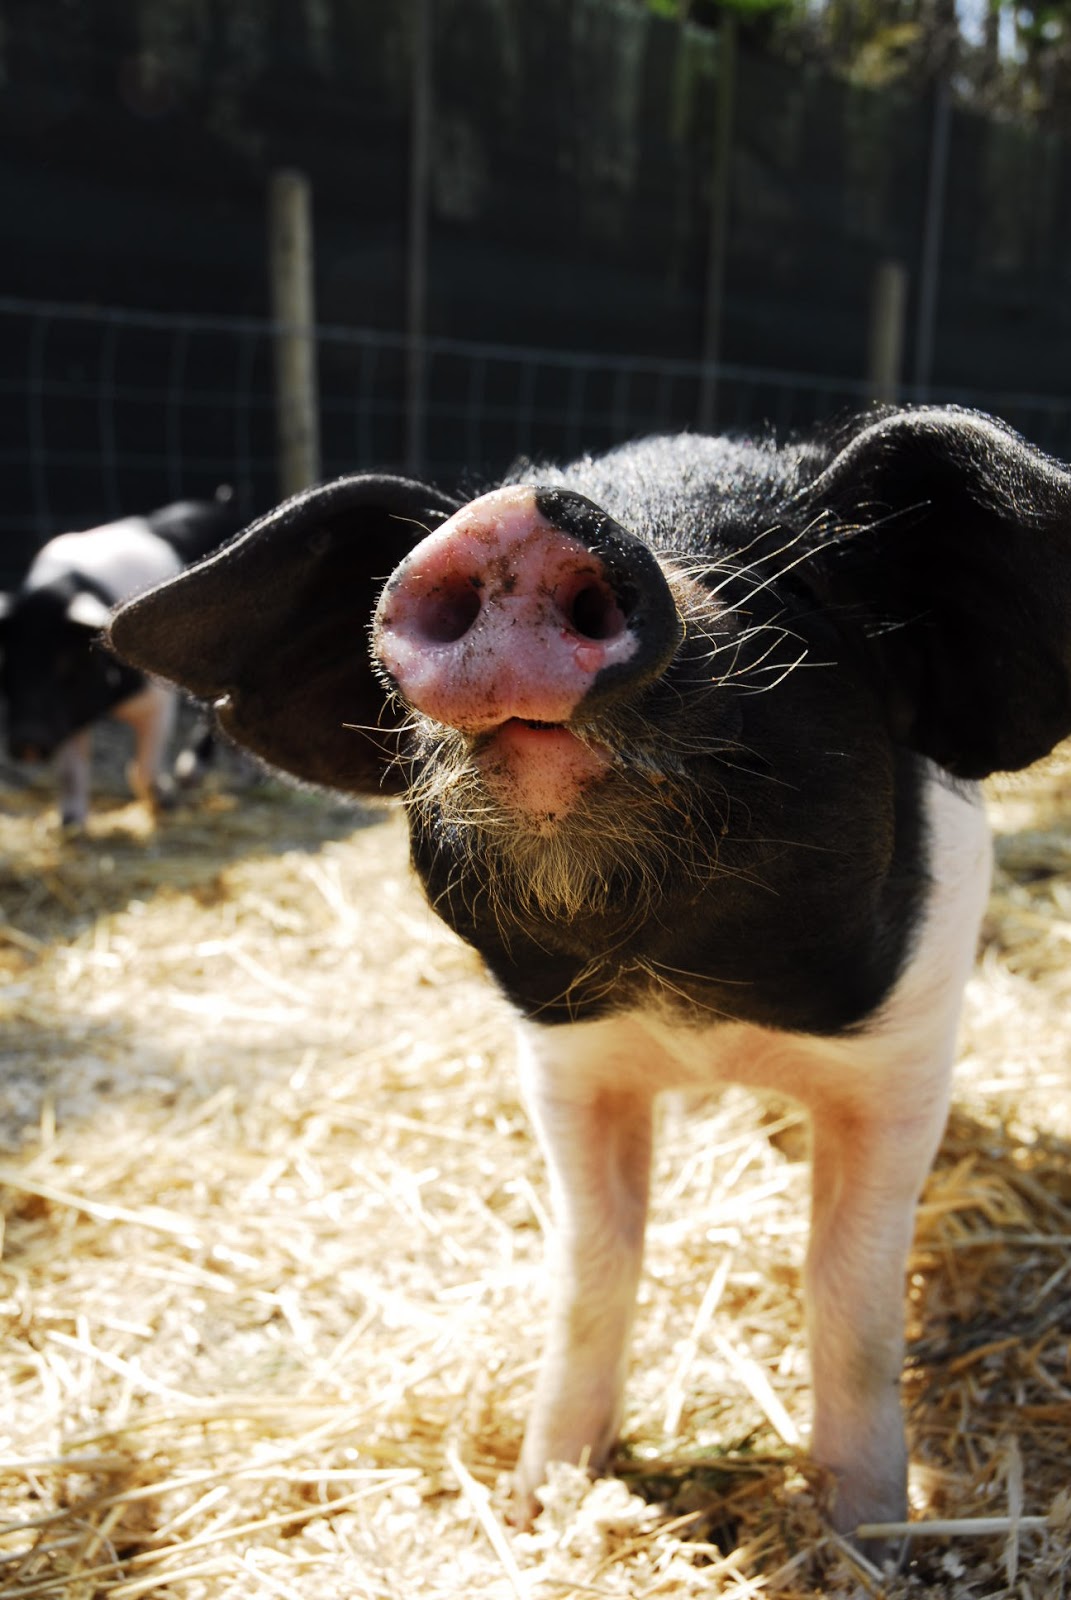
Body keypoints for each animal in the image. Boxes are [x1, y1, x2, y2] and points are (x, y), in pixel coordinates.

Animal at [0, 494, 245, 825]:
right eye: (8, 666)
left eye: (66, 664)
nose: (27, 741)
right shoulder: (68, 717)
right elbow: (71, 772)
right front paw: (69, 823)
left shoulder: (156, 702)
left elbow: (142, 766)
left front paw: (166, 801)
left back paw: (190, 776)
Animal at [107, 407, 1071, 1548]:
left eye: (780, 577)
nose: (516, 523)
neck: (697, 1009)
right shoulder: (567, 1063)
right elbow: (591, 1268)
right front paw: (544, 1497)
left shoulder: (903, 1059)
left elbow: (850, 1285)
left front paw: (864, 1529)